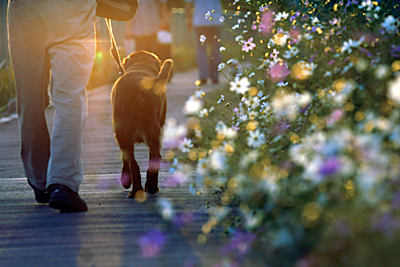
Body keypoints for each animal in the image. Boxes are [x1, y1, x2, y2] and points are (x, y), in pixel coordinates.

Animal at [110, 50, 173, 199]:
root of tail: (139, 85)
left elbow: (124, 158)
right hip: (152, 131)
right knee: (152, 158)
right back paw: (149, 187)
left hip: (124, 133)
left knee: (133, 161)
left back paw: (139, 189)